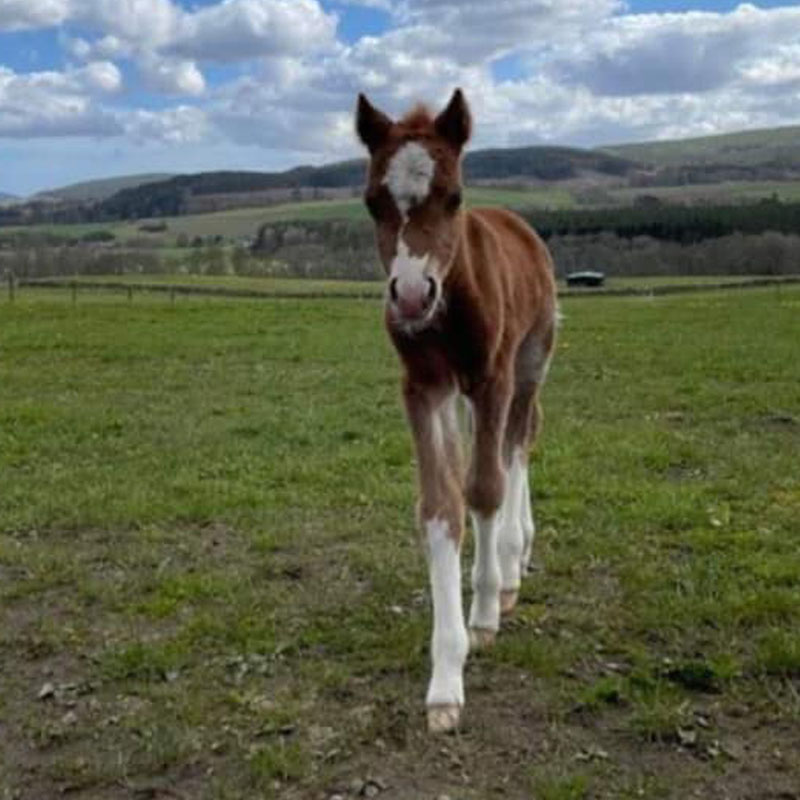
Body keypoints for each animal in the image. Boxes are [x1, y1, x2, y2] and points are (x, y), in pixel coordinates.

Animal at [356, 87, 556, 732]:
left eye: (454, 197)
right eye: (372, 202)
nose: (412, 295)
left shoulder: (493, 377)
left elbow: (487, 487)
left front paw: (487, 610)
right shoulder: (425, 387)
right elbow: (442, 506)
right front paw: (446, 676)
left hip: (530, 361)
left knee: (520, 443)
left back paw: (513, 561)